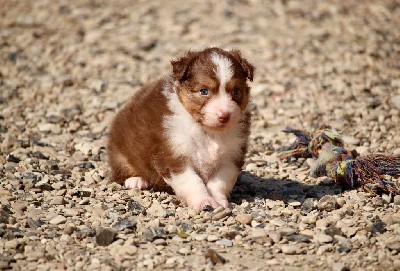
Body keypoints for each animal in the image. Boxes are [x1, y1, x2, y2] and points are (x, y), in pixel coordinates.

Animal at [108, 47, 255, 211]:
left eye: (235, 91)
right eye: (204, 91)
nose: (224, 115)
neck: (207, 131)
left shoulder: (231, 157)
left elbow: (219, 182)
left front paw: (219, 202)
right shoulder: (173, 156)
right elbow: (192, 182)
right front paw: (204, 202)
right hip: (120, 151)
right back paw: (136, 180)